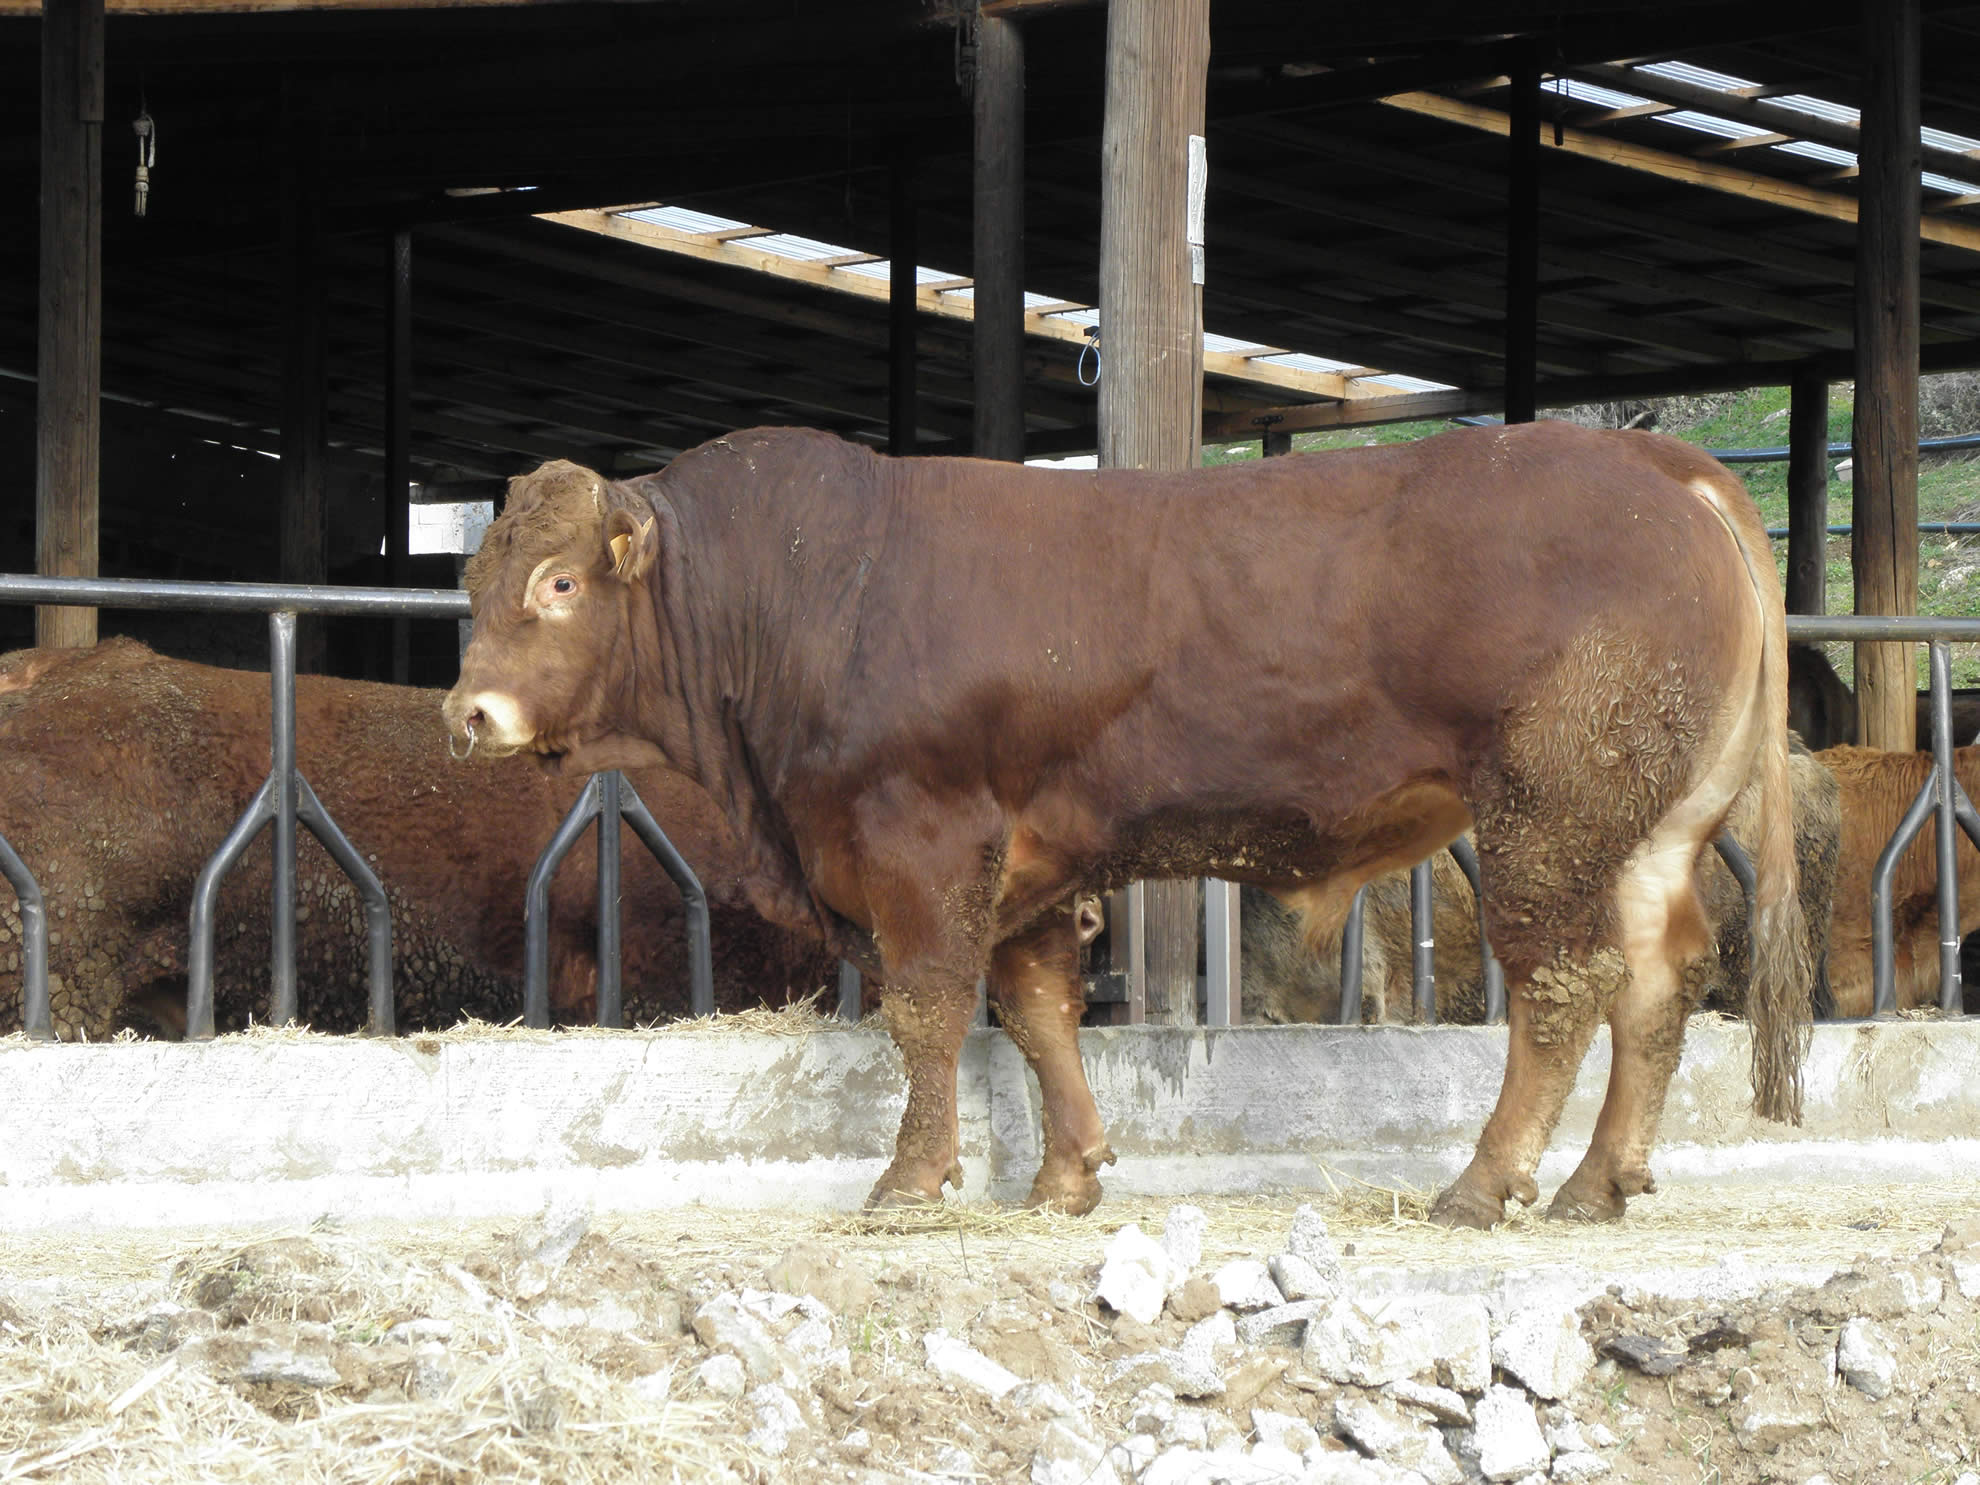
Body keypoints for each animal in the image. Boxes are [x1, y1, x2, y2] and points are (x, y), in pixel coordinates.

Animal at [445, 421, 1813, 1235]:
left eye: (558, 583)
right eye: (471, 581)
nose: (468, 712)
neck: (809, 590)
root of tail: (1652, 461)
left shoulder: (921, 837)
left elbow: (927, 1012)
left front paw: (911, 1179)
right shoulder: (1033, 861)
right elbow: (1041, 1010)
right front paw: (1067, 1176)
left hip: (1547, 816)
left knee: (1563, 987)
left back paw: (1485, 1183)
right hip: (1650, 832)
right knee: (1658, 984)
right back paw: (1597, 1183)